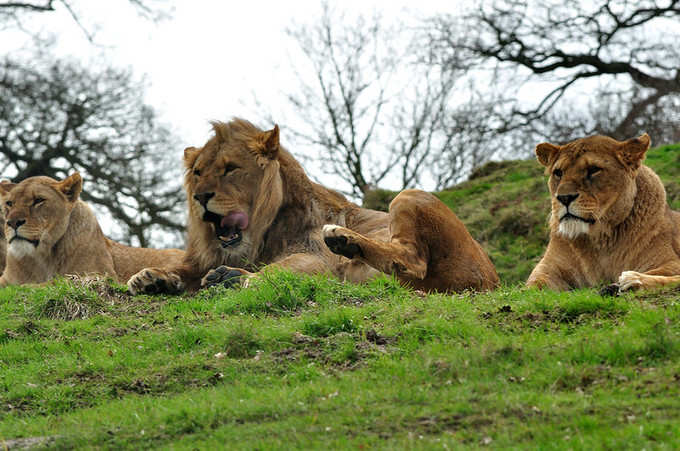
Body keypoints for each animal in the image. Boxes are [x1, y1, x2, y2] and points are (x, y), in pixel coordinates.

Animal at [0, 173, 185, 286]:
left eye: (39, 200)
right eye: (9, 203)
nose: (12, 222)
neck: (42, 257)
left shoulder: (100, 275)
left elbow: (48, 282)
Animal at [129, 118, 500, 294]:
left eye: (230, 169)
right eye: (198, 173)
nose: (200, 197)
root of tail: (493, 281)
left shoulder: (316, 259)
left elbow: (281, 269)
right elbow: (183, 270)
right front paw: (151, 277)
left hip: (409, 195)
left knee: (411, 261)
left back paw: (342, 239)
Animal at [528, 133, 676, 294]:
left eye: (594, 169)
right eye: (558, 173)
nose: (564, 198)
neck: (599, 240)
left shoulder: (670, 262)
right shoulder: (547, 268)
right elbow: (534, 286)